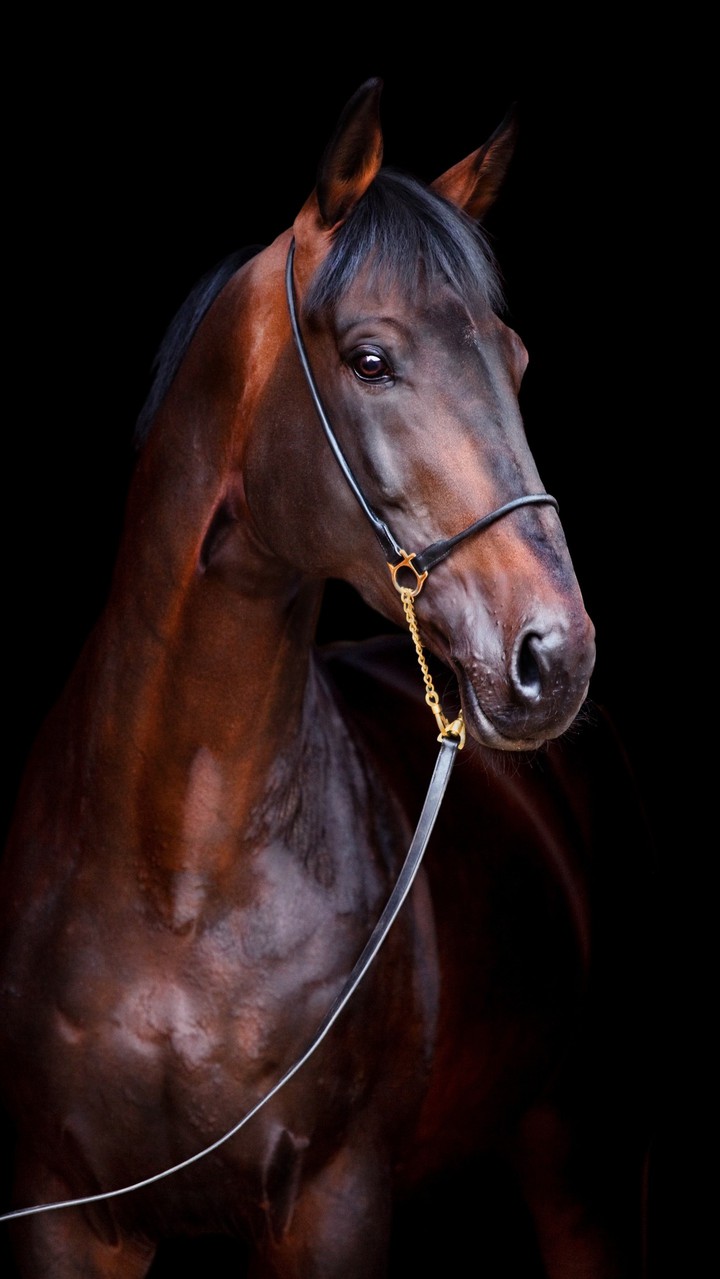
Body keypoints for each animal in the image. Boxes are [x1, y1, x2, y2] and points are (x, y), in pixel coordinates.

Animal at [0, 78, 652, 1277]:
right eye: (371, 359)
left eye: (515, 359)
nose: (557, 654)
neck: (178, 874)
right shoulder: (63, 1208)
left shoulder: (336, 1202)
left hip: (584, 1155)